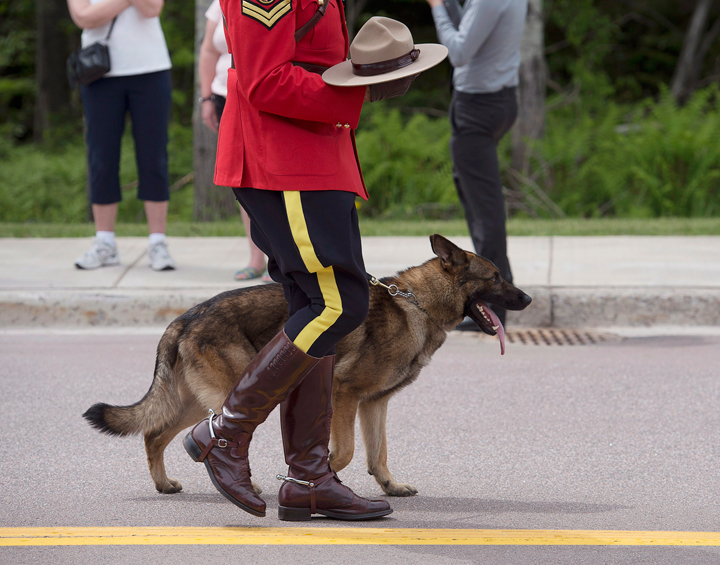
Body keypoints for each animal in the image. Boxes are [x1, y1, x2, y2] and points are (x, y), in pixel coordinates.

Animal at [86, 236, 528, 496]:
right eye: (496, 277)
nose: (526, 299)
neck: (417, 304)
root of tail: (186, 317)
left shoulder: (375, 405)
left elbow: (378, 453)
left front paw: (389, 485)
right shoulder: (345, 395)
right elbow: (346, 452)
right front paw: (319, 474)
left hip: (198, 401)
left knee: (156, 435)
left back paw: (164, 483)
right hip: (237, 393)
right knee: (214, 435)